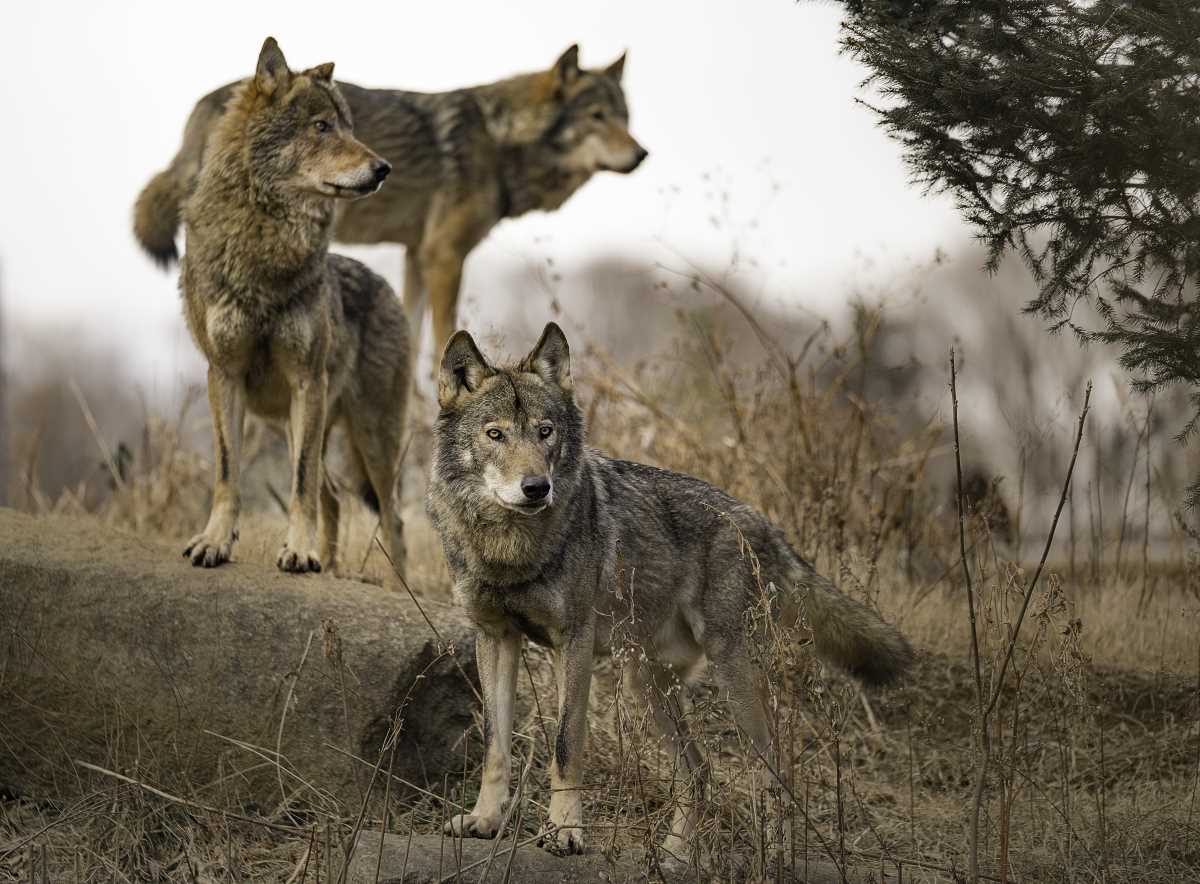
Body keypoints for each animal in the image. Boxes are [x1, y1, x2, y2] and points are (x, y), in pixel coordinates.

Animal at [131, 44, 648, 371]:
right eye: (597, 117)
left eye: (625, 118)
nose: (641, 154)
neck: (500, 140)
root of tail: (203, 106)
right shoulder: (444, 256)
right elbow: (442, 339)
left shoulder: (416, 255)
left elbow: (414, 335)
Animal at [178, 37, 412, 582]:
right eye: (321, 126)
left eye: (349, 126)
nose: (384, 168)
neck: (265, 244)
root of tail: (386, 287)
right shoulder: (224, 374)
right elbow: (228, 472)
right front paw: (215, 542)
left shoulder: (307, 380)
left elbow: (300, 484)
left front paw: (299, 552)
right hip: (293, 423)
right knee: (334, 497)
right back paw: (329, 568)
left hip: (369, 436)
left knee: (390, 516)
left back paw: (393, 586)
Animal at [427, 321, 912, 854]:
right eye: (495, 434)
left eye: (545, 431)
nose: (537, 488)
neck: (509, 550)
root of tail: (766, 526)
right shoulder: (496, 638)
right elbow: (496, 746)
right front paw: (483, 821)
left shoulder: (572, 643)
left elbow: (565, 745)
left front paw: (565, 831)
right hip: (645, 684)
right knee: (698, 773)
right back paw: (675, 858)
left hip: (733, 677)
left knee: (775, 769)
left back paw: (770, 855)